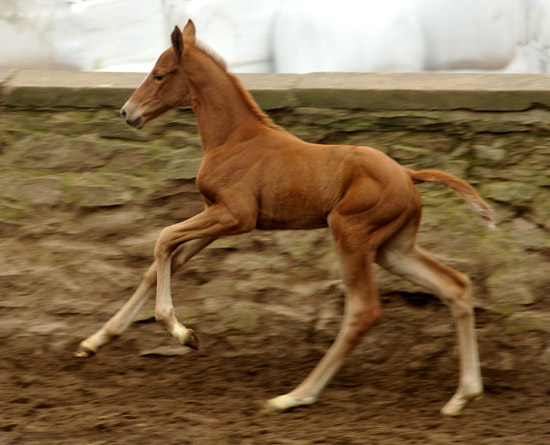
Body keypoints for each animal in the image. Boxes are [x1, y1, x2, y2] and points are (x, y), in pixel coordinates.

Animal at [75, 20, 494, 416]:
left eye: (159, 74)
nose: (127, 112)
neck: (234, 139)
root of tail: (408, 174)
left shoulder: (235, 216)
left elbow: (163, 237)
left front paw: (181, 332)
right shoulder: (216, 215)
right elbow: (165, 260)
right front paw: (95, 342)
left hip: (351, 233)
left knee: (363, 311)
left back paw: (294, 396)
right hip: (393, 248)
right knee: (455, 286)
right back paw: (463, 396)